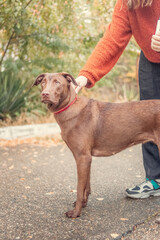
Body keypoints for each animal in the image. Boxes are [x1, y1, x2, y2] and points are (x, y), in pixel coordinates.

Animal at [33, 71, 160, 218]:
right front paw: (83, 204)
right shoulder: (85, 158)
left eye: (57, 82)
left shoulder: (82, 157)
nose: (45, 94)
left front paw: (76, 212)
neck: (69, 107)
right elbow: (86, 185)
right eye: (43, 82)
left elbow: (79, 188)